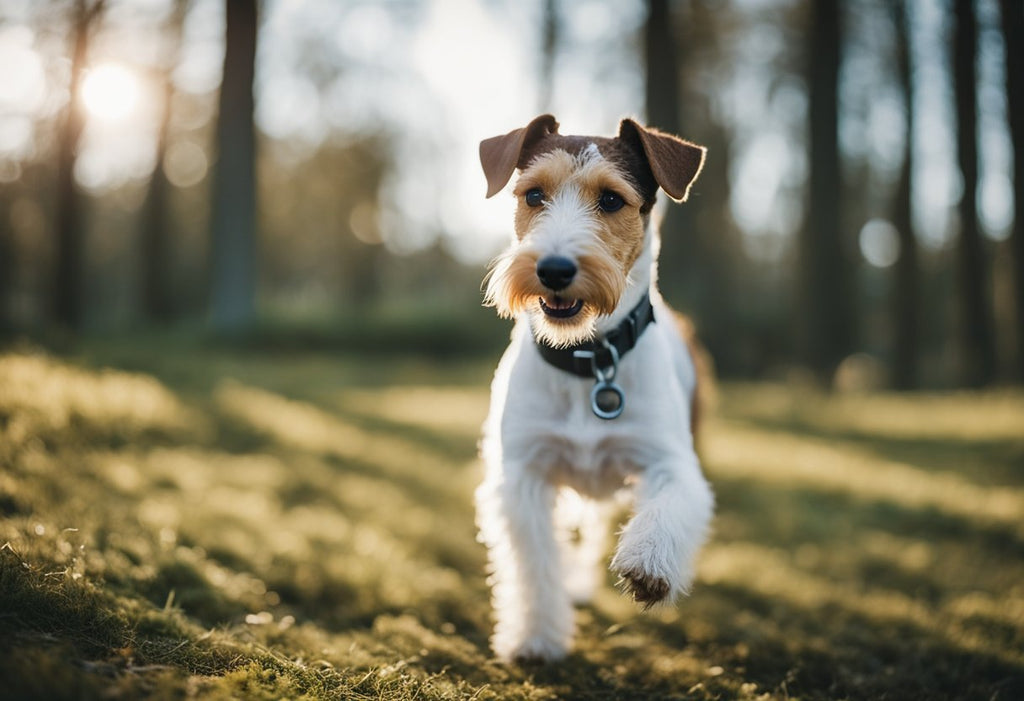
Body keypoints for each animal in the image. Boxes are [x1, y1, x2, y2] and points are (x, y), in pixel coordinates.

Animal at [475, 114, 716, 663]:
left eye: (610, 199)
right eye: (533, 194)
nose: (554, 269)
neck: (589, 359)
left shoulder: (669, 460)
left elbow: (672, 503)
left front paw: (649, 563)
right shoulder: (524, 473)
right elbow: (536, 563)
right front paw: (537, 637)